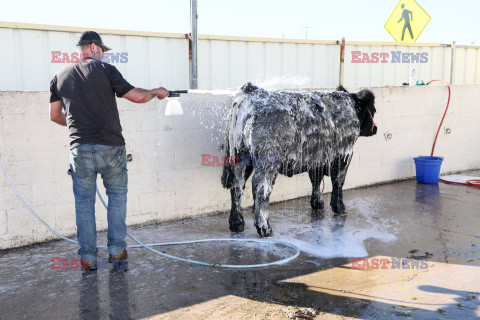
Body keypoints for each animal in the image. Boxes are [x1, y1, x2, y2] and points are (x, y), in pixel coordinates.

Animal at [220, 84, 376, 236]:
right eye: (373, 110)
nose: (376, 129)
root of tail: (251, 90)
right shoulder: (344, 154)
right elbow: (338, 182)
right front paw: (339, 207)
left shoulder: (317, 159)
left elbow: (316, 180)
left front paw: (317, 204)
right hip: (267, 162)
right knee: (260, 188)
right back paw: (265, 228)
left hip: (240, 159)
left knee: (237, 187)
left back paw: (236, 224)